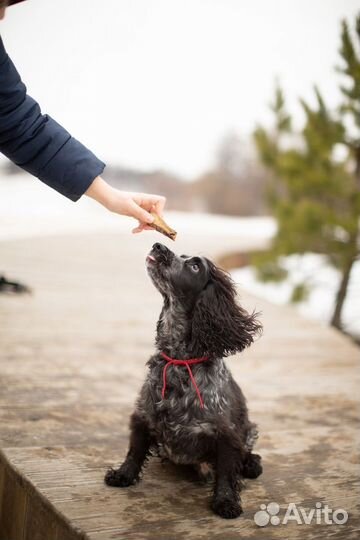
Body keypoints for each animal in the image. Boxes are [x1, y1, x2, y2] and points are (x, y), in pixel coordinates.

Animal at [105, 243, 262, 516]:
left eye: (195, 266)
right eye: (184, 256)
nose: (158, 245)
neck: (179, 361)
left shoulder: (226, 435)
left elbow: (226, 471)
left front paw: (226, 501)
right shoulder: (143, 416)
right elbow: (135, 451)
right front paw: (123, 476)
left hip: (250, 428)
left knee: (248, 452)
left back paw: (252, 464)